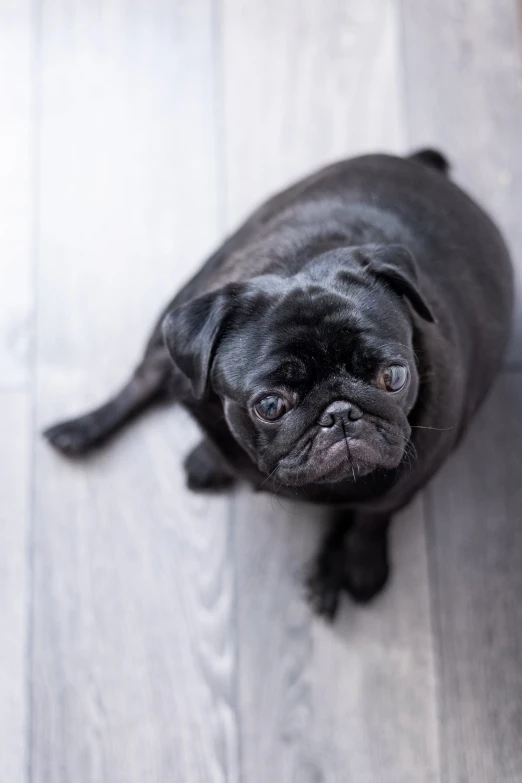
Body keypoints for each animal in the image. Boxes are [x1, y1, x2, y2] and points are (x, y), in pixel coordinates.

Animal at [44, 152, 512, 620]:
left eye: (394, 377)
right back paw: (83, 430)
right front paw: (211, 457)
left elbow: (372, 516)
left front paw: (361, 564)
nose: (340, 413)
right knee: (145, 377)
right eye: (270, 406)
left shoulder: (411, 476)